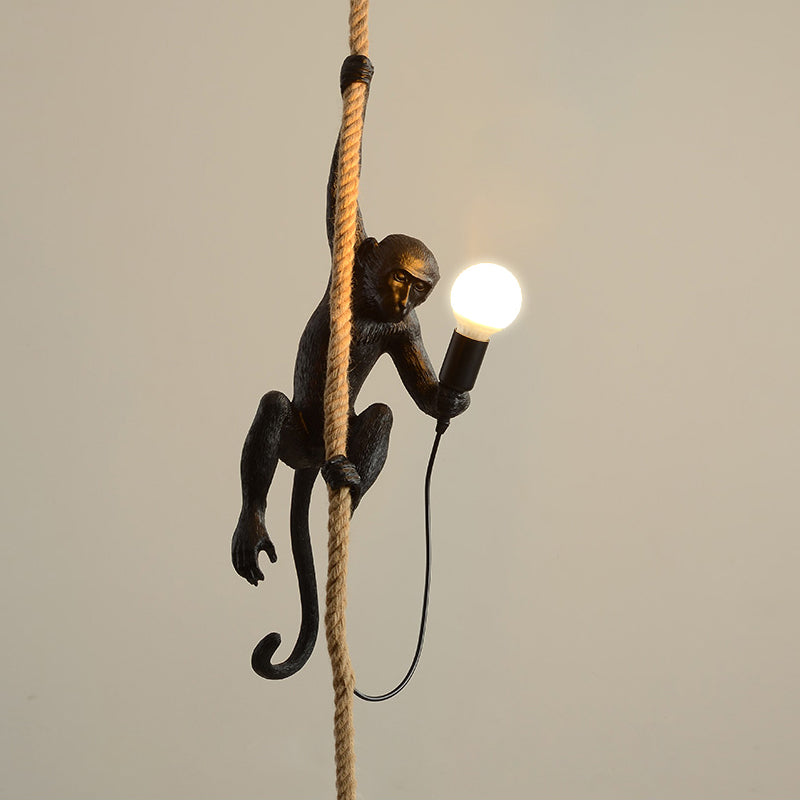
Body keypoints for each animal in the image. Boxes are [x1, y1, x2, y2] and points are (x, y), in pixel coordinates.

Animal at [231, 55, 470, 680]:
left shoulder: (406, 329)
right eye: (402, 276)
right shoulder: (354, 254)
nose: (407, 296)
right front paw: (355, 77)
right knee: (274, 408)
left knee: (382, 414)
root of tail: (316, 458)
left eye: (421, 288)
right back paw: (253, 524)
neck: (370, 306)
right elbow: (340, 185)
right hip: (297, 442)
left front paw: (452, 400)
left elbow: (420, 397)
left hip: (328, 445)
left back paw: (351, 486)